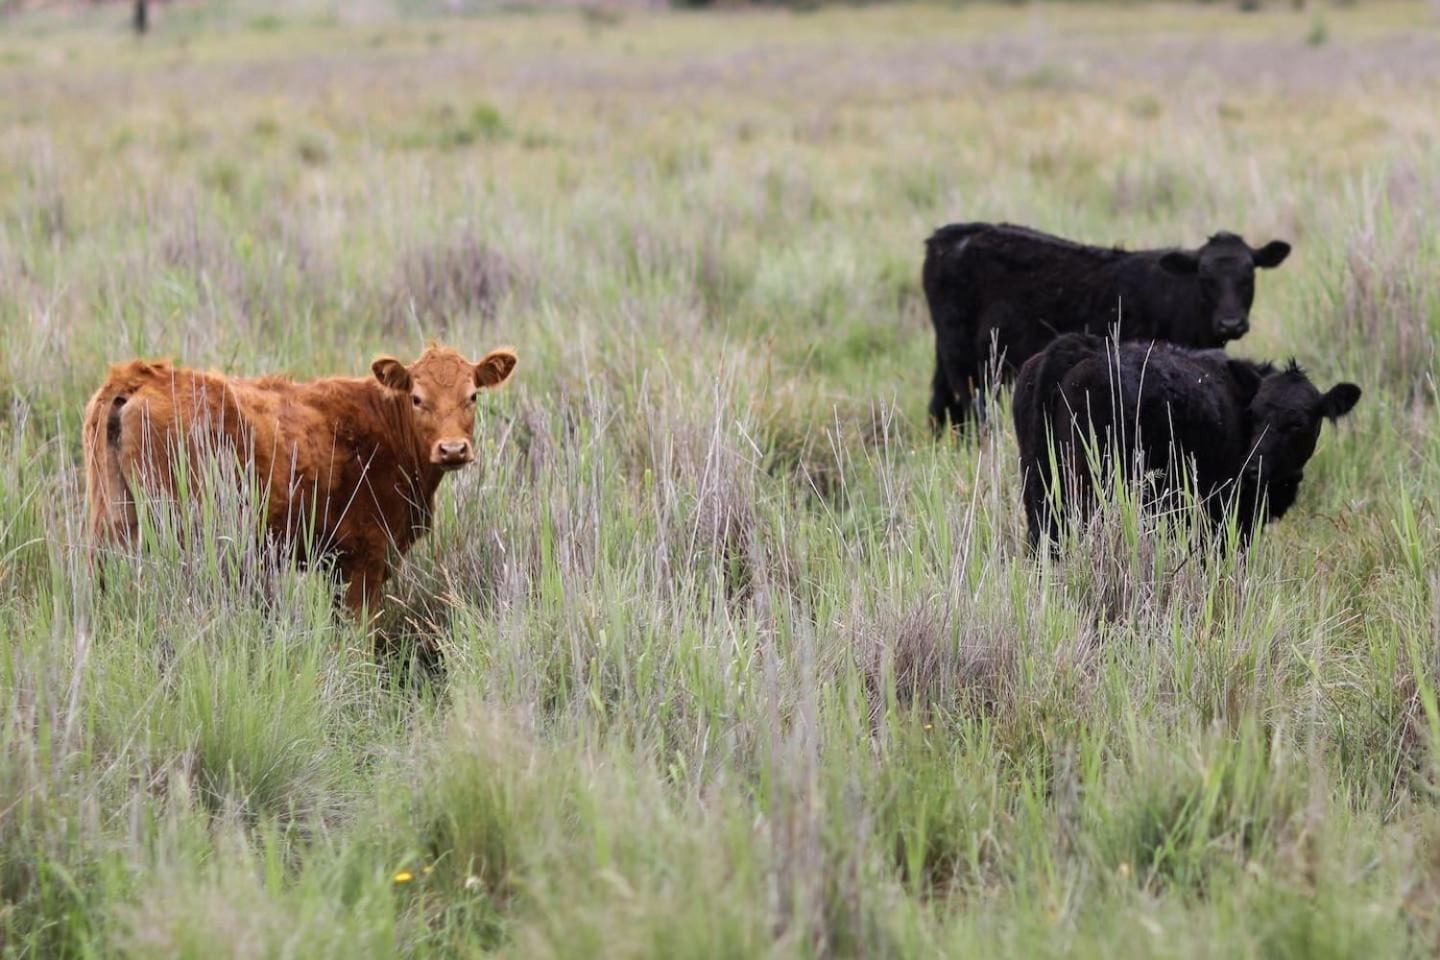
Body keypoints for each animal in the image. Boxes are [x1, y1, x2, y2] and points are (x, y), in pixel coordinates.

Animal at [80, 345, 518, 616]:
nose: (452, 449)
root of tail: (138, 375)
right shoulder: (367, 557)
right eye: (417, 398)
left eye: (472, 396)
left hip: (112, 519)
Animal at [1013, 333, 1359, 546]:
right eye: (1254, 414)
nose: (1252, 468)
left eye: (1298, 423)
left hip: (1038, 485)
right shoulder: (1226, 517)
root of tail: (1079, 345)